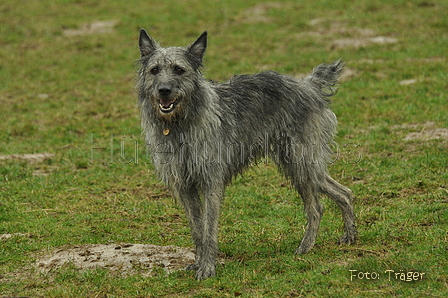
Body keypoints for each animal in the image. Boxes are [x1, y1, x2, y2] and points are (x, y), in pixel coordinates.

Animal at [136, 29, 356, 280]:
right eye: (154, 70)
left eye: (179, 70)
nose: (164, 90)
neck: (179, 124)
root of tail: (309, 85)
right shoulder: (184, 187)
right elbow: (197, 230)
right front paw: (198, 262)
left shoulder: (211, 183)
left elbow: (209, 230)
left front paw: (208, 267)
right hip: (297, 166)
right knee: (338, 196)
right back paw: (343, 237)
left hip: (302, 163)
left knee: (329, 200)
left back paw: (313, 244)